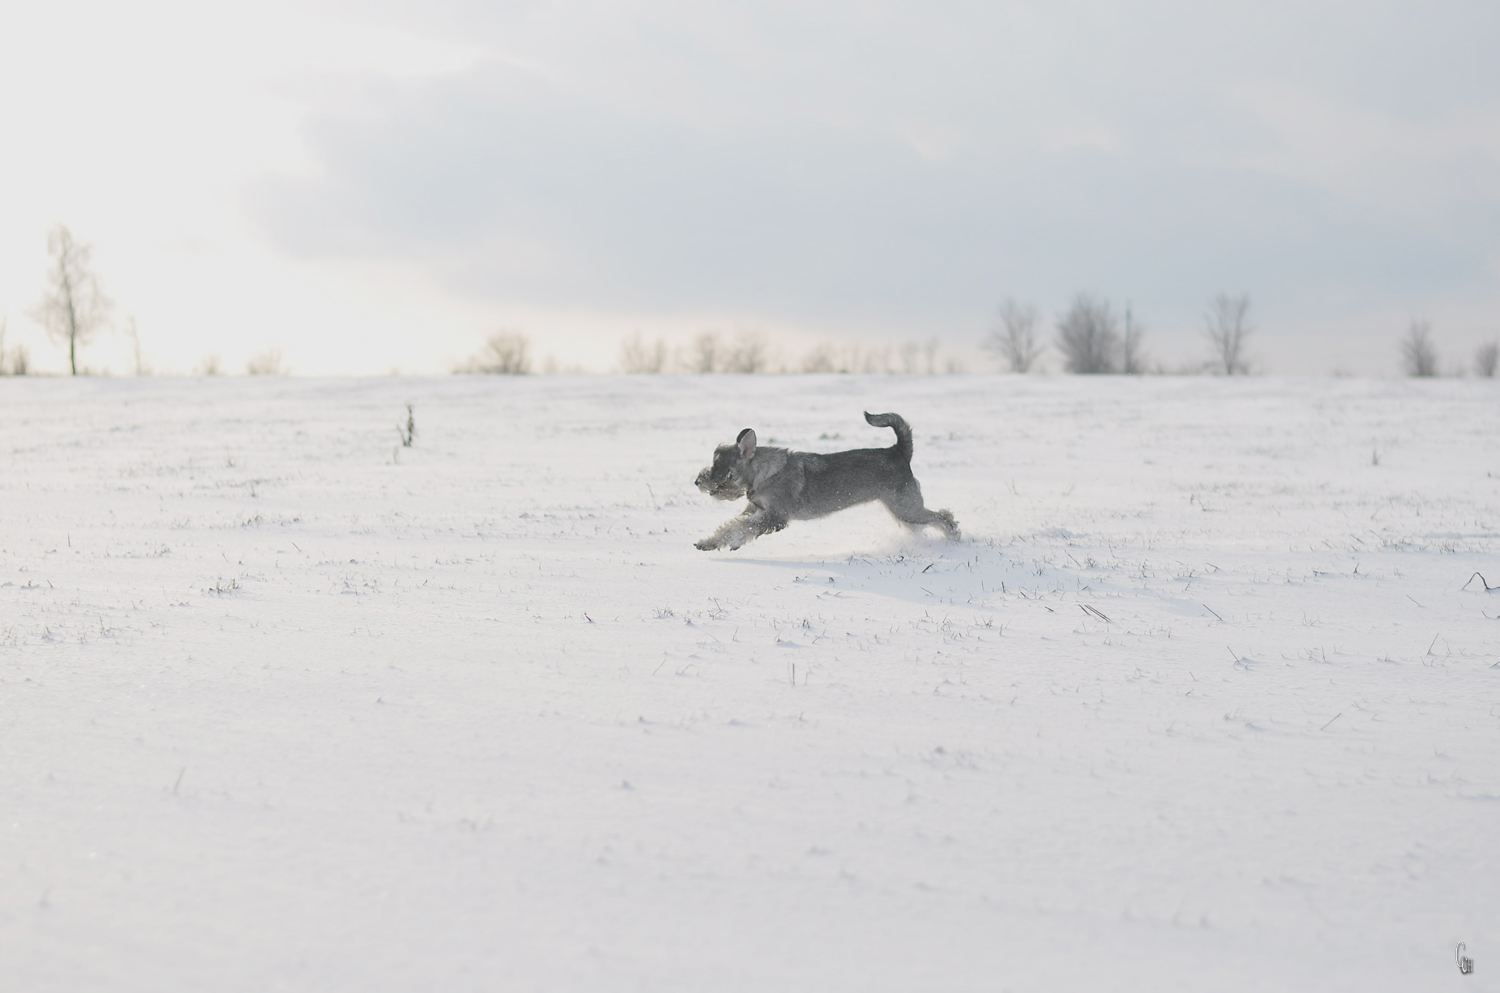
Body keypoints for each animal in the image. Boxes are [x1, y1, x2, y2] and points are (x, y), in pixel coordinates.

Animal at [693, 411, 960, 552]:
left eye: (721, 467)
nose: (698, 481)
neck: (764, 472)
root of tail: (899, 452)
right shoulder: (756, 509)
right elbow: (730, 525)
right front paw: (708, 542)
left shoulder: (775, 516)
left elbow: (742, 527)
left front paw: (735, 540)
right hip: (902, 510)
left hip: (906, 508)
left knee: (944, 517)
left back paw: (954, 541)